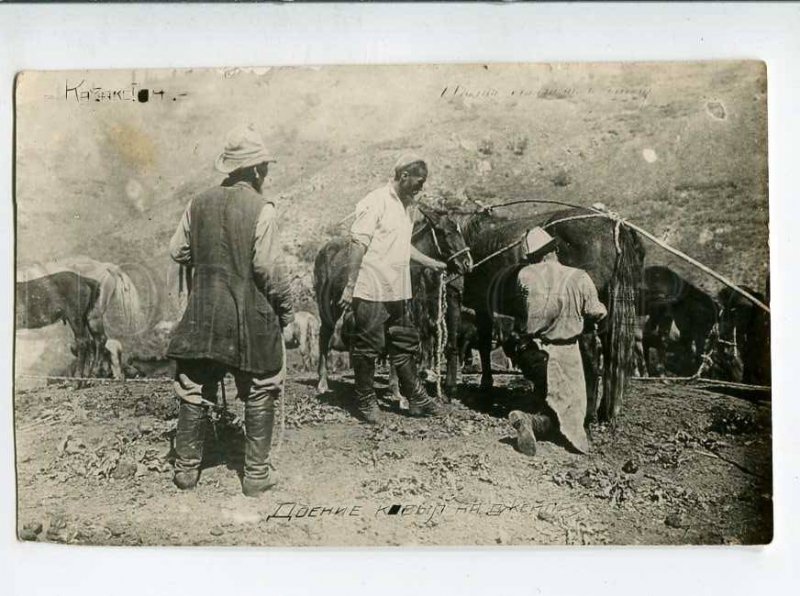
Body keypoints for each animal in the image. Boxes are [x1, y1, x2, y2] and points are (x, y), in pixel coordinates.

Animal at [314, 206, 476, 396]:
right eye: (446, 232)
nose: (467, 263)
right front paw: (397, 390)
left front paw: (397, 388)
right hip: (328, 303)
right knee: (325, 333)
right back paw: (322, 382)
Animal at [454, 210, 648, 424]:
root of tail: (613, 225)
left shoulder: (483, 309)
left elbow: (485, 346)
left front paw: (486, 383)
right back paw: (605, 410)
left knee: (592, 356)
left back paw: (588, 413)